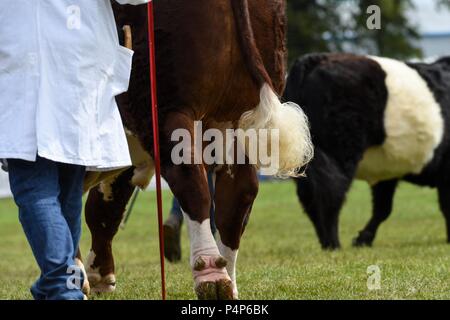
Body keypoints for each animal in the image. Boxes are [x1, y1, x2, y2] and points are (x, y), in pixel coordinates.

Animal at [78, 0, 312, 300]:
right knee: (238, 195)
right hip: (234, 119)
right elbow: (104, 207)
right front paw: (98, 275)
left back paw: (212, 276)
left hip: (166, 109)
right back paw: (228, 280)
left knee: (190, 179)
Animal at [284, 52, 450, 250]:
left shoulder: (388, 171)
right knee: (329, 193)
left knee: (310, 194)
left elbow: (383, 208)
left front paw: (363, 239)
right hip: (339, 154)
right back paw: (333, 243)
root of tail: (316, 58)